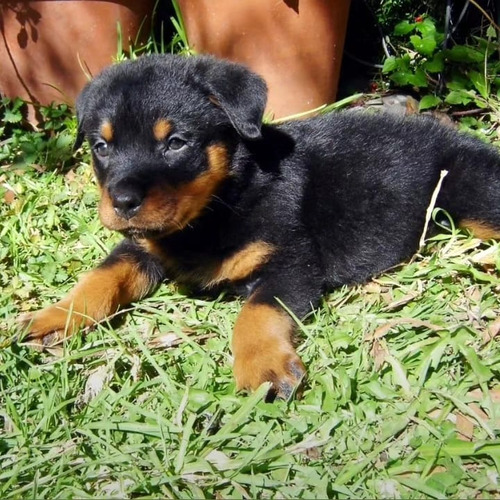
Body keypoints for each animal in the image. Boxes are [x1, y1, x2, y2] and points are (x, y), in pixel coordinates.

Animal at [18, 53, 500, 398]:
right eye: (101, 146)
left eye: (176, 143)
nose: (121, 202)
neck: (216, 209)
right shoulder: (142, 245)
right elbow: (101, 276)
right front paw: (55, 316)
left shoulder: (290, 260)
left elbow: (257, 311)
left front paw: (263, 366)